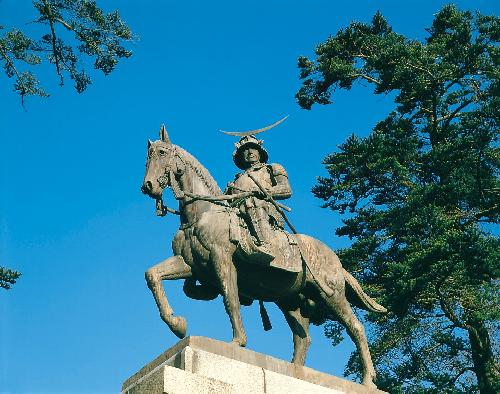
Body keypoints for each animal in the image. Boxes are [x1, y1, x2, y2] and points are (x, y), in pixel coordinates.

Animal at [141, 127, 386, 388]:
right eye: (148, 158)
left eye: (162, 152)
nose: (148, 185)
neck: (201, 215)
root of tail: (336, 261)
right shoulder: (190, 264)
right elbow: (154, 276)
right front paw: (178, 324)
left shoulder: (222, 260)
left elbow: (231, 299)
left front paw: (238, 341)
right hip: (291, 301)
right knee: (303, 337)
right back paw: (296, 371)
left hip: (332, 295)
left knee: (356, 328)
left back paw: (368, 381)